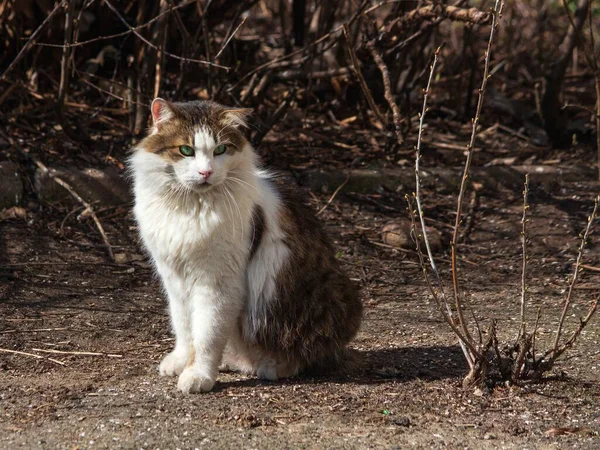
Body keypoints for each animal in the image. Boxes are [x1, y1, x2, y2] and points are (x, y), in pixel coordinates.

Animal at [130, 98, 360, 394]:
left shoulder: (217, 282)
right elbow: (183, 326)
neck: (190, 206)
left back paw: (270, 366)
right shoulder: (174, 278)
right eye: (186, 150)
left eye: (220, 149)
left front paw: (198, 375)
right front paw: (181, 361)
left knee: (305, 353)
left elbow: (206, 335)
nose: (206, 172)